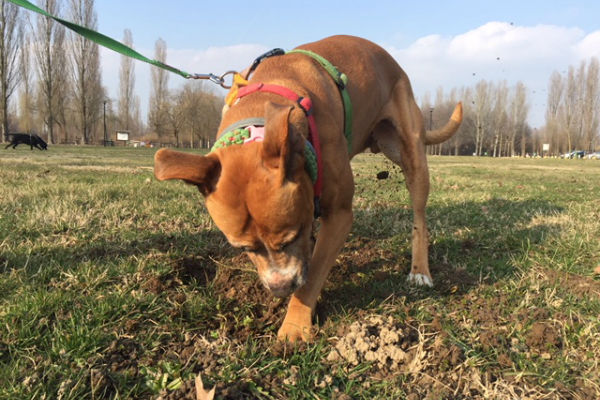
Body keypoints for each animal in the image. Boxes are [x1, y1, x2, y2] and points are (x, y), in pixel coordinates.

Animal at [152, 35, 462, 340]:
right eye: (244, 248)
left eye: (291, 236)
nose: (279, 289)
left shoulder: (339, 215)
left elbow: (312, 277)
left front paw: (294, 325)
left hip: (410, 153)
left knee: (419, 215)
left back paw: (420, 271)